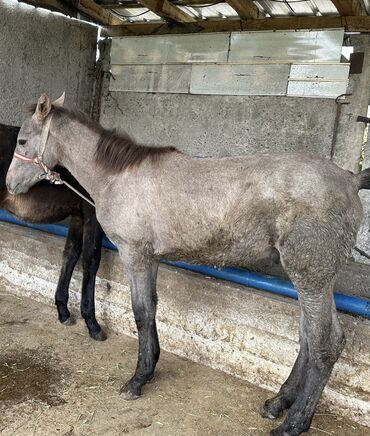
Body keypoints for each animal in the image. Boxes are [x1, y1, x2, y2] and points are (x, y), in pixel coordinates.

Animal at [0, 122, 105, 340]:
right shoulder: (92, 217)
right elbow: (91, 261)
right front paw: (92, 323)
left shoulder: (78, 217)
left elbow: (70, 255)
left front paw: (63, 310)